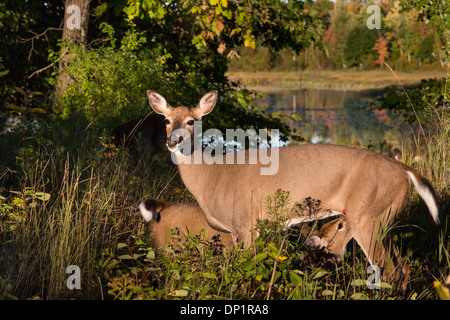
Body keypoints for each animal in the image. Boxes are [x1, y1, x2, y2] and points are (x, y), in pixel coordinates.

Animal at [147, 89, 440, 288]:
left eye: (191, 121)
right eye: (166, 120)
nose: (173, 141)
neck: (212, 175)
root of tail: (406, 171)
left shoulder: (245, 221)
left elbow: (249, 271)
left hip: (369, 215)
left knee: (388, 269)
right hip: (384, 217)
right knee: (403, 268)